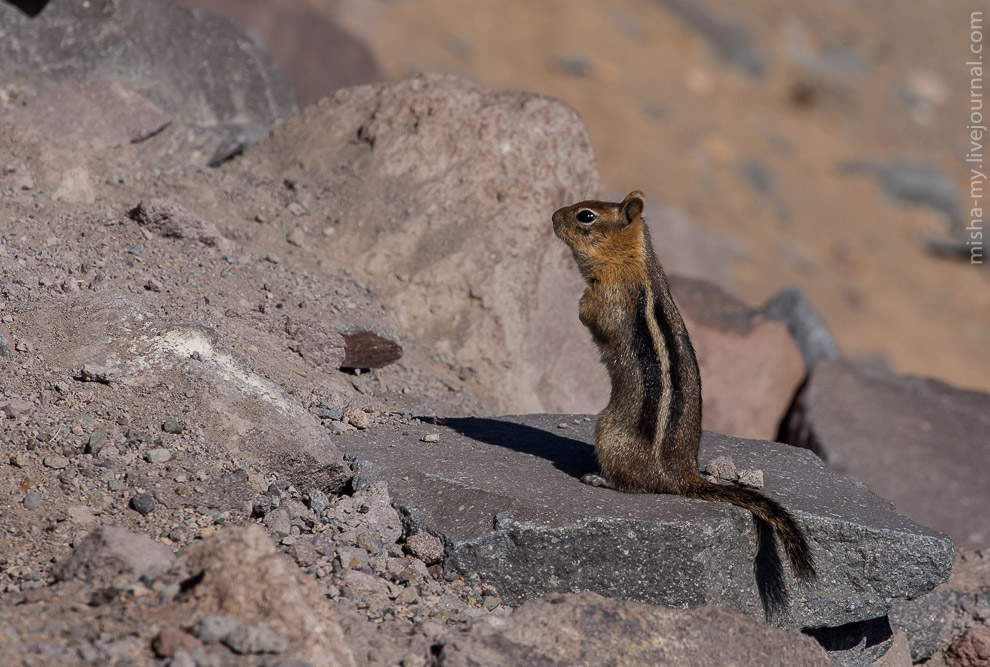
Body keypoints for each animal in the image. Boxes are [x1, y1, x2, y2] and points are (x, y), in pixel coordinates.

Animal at [556, 190, 816, 620]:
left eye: (586, 216)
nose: (553, 216)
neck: (631, 259)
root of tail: (682, 475)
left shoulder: (608, 294)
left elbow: (590, 313)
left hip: (608, 432)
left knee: (634, 487)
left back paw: (598, 478)